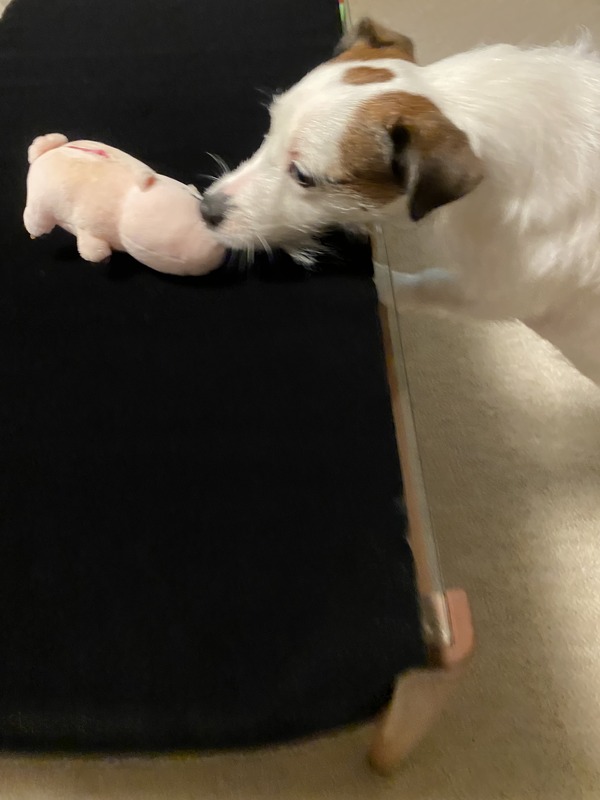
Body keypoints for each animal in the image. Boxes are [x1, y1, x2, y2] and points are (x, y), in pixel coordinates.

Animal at [201, 18, 600, 386]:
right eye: (271, 128)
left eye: (302, 175)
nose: (206, 210)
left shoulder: (491, 290)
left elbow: (426, 286)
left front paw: (373, 278)